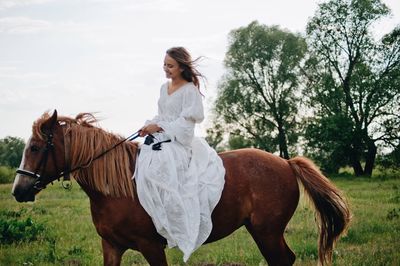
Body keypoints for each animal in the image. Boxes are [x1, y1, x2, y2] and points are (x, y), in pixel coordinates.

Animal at [11, 110, 350, 266]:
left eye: (37, 148)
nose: (18, 190)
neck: (120, 188)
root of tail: (285, 163)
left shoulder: (151, 246)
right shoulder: (112, 246)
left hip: (267, 232)